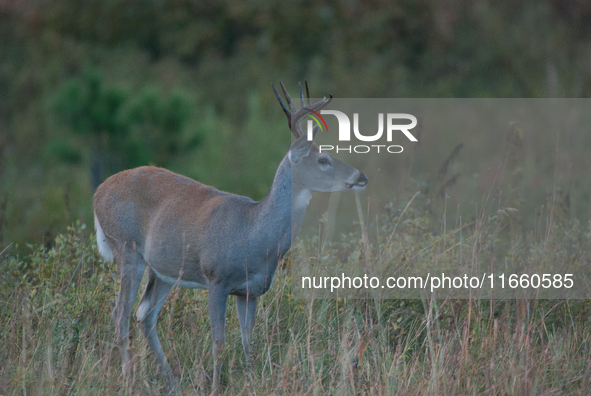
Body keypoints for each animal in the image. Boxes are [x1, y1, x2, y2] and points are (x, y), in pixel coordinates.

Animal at [92, 81, 368, 392]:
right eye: (323, 159)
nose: (361, 176)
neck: (254, 234)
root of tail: (97, 193)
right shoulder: (217, 279)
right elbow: (219, 343)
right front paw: (215, 388)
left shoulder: (250, 291)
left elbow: (250, 343)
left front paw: (252, 382)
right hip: (126, 248)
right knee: (121, 314)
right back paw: (130, 380)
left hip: (163, 271)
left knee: (144, 315)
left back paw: (172, 383)